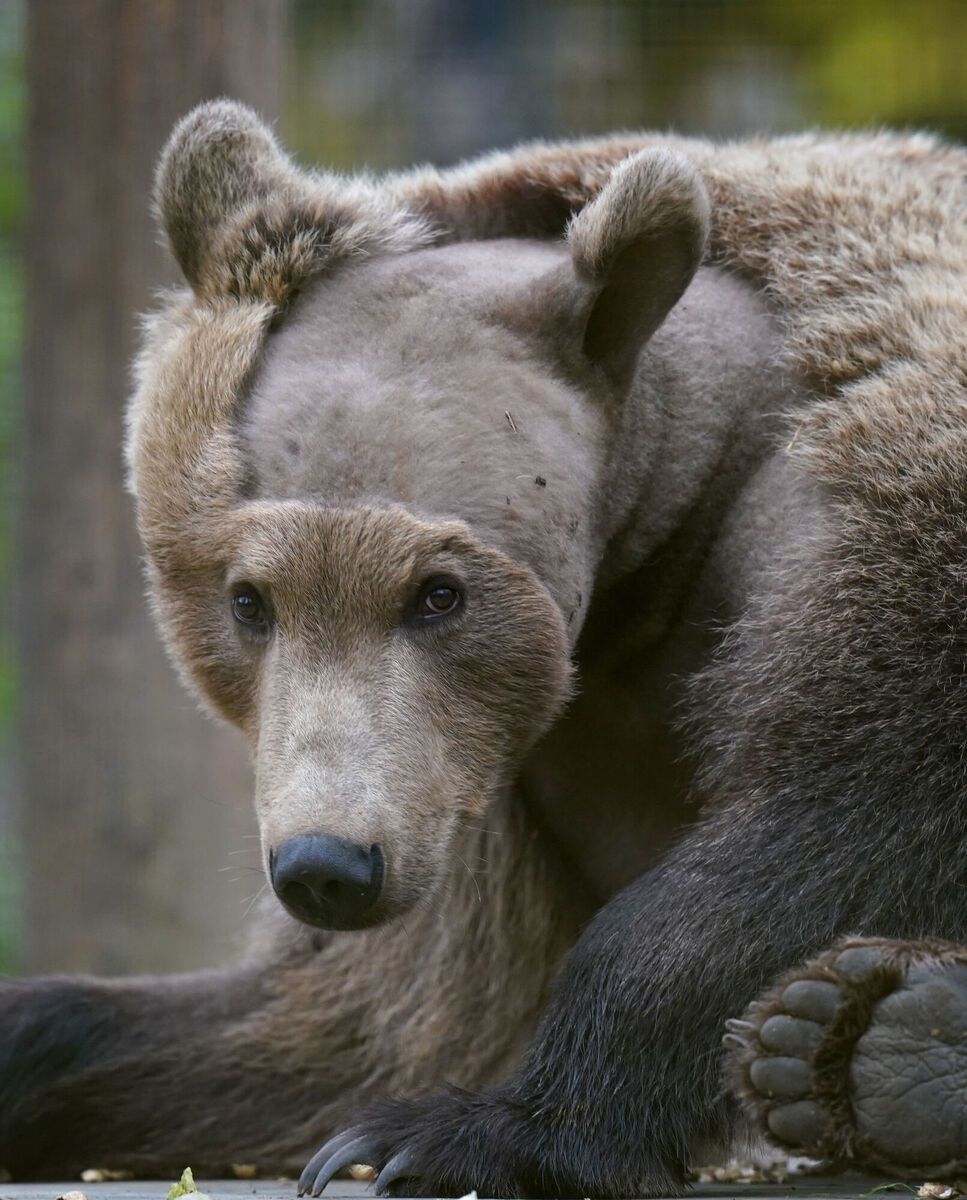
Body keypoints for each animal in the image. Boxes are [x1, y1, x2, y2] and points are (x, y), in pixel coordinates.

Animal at [3, 100, 967, 1195]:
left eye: (438, 593)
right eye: (249, 599)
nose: (325, 865)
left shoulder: (868, 518)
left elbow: (834, 821)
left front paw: (459, 1132)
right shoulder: (473, 782)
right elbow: (358, 1023)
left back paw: (877, 1041)